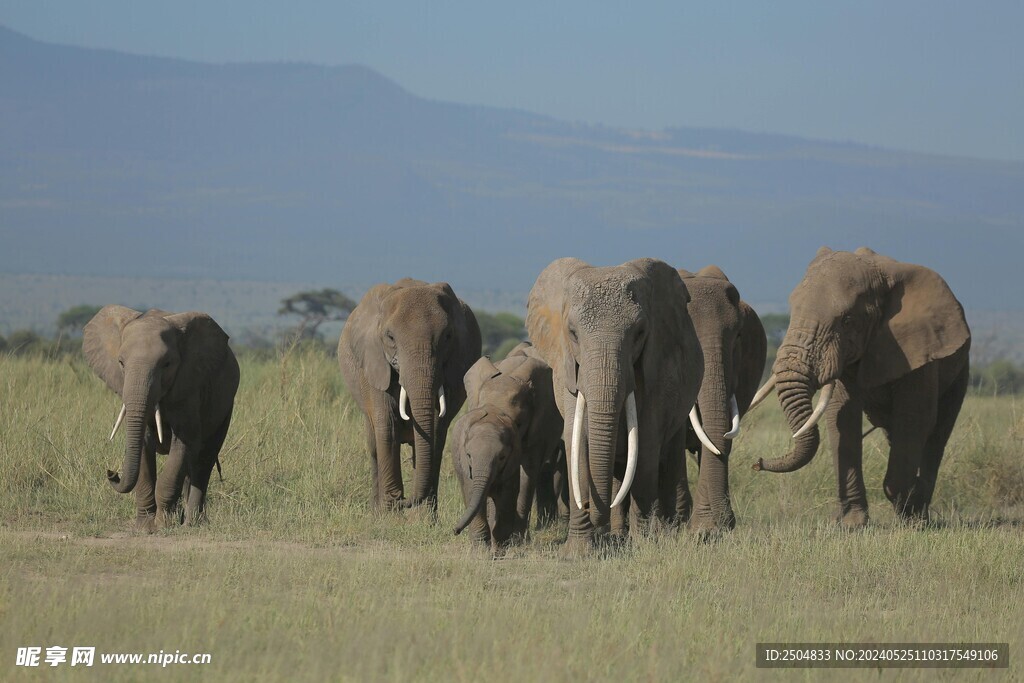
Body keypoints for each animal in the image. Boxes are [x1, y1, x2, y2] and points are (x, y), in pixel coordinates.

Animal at [83, 306, 239, 530]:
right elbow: (143, 447)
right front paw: (144, 527)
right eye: (121, 363)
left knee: (203, 460)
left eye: (167, 364)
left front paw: (163, 525)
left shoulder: (188, 388)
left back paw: (192, 523)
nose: (112, 472)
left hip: (225, 405)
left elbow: (183, 444)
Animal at [338, 278, 481, 515]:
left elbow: (435, 431)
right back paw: (376, 511)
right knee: (374, 445)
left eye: (448, 337)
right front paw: (389, 513)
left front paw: (421, 517)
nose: (403, 500)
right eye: (390, 337)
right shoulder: (374, 364)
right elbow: (386, 426)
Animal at [451, 342, 564, 552]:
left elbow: (526, 475)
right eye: (482, 408)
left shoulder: (538, 428)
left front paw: (516, 541)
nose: (455, 530)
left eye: (518, 423)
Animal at [526, 258, 703, 553]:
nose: (592, 509)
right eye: (572, 333)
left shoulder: (656, 370)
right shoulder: (567, 370)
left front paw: (644, 545)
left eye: (640, 333)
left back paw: (662, 532)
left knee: (668, 457)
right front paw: (579, 552)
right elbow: (577, 440)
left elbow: (646, 444)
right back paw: (619, 533)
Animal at [750, 247, 970, 527]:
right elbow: (842, 416)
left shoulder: (920, 349)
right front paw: (852, 524)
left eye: (847, 320)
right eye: (792, 310)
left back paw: (919, 512)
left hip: (960, 367)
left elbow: (915, 417)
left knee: (937, 432)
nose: (757, 462)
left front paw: (908, 515)